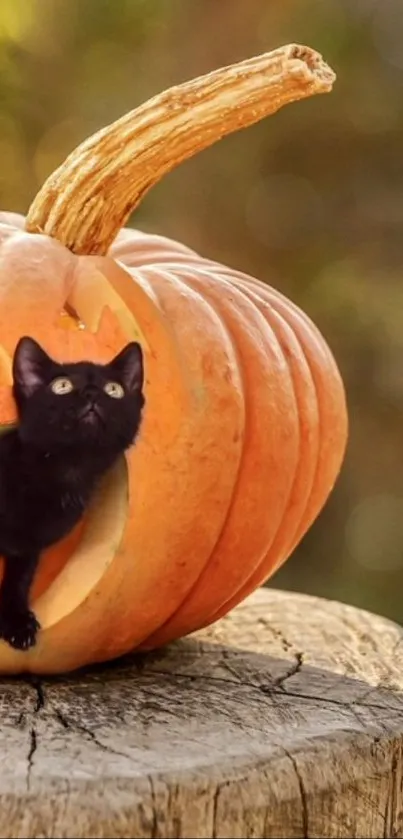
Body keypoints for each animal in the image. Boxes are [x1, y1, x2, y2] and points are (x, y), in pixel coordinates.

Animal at [0, 338, 146, 652]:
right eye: (62, 386)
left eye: (113, 389)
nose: (91, 394)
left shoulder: (28, 547)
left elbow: (20, 580)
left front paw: (17, 621)